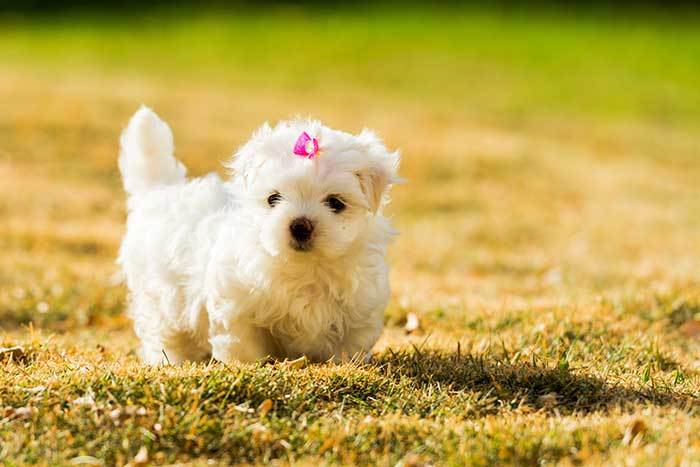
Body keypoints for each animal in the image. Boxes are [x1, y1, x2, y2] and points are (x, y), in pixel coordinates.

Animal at [115, 107, 400, 366]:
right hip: (161, 296)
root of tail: (159, 190)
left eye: (336, 203)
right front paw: (248, 365)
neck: (306, 269)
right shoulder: (236, 303)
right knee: (166, 333)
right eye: (273, 198)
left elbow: (349, 343)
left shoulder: (359, 309)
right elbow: (244, 342)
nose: (300, 225)